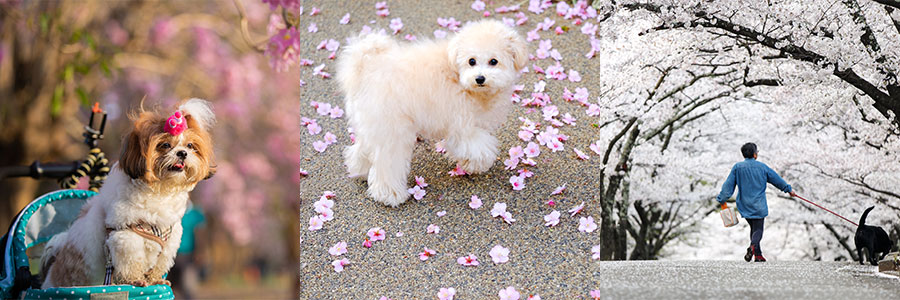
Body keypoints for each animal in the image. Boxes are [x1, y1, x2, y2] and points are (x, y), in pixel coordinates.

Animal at [40, 99, 216, 288]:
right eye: (165, 145)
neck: (160, 190)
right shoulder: (125, 235)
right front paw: (134, 279)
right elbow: (131, 261)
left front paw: (155, 280)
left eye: (190, 146)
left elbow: (160, 263)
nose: (182, 153)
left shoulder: (170, 239)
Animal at [338, 19, 528, 206]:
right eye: (471, 61)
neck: (458, 76)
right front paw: (476, 165)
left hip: (372, 125)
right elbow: (479, 148)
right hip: (392, 131)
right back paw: (390, 194)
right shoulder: (463, 125)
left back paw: (359, 170)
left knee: (363, 149)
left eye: (494, 61)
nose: (479, 78)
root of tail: (364, 70)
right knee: (387, 164)